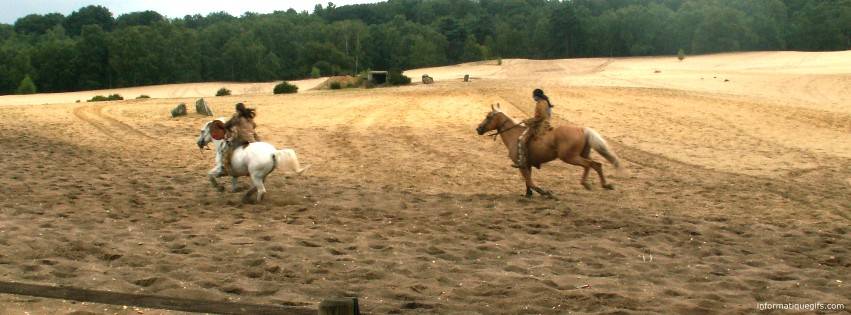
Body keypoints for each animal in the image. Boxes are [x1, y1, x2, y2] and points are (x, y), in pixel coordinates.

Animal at [476, 103, 624, 198]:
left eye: (488, 116)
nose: (478, 129)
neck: (514, 134)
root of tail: (582, 129)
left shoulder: (521, 165)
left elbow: (530, 181)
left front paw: (545, 192)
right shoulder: (527, 164)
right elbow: (528, 181)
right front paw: (528, 195)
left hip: (570, 157)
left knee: (589, 165)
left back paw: (586, 184)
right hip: (582, 154)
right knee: (597, 164)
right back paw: (605, 185)